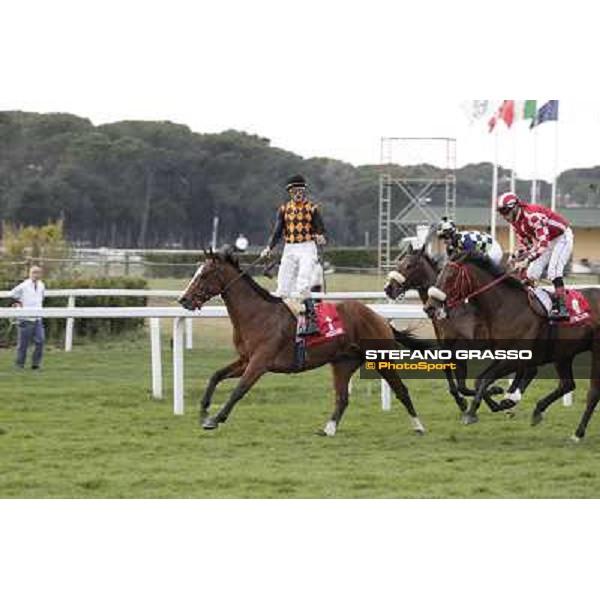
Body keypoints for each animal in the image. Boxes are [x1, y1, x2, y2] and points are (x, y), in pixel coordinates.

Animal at [178, 247, 432, 436]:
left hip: (381, 358)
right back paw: (328, 429)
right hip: (342, 363)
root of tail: (377, 316)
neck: (256, 315)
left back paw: (419, 426)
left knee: (401, 390)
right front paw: (203, 411)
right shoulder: (245, 359)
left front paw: (215, 418)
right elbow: (216, 376)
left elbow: (239, 390)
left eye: (203, 275)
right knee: (342, 398)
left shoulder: (260, 362)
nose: (183, 300)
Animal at [424, 253, 600, 440]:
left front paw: (472, 412)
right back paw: (538, 411)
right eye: (439, 274)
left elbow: (485, 379)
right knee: (567, 384)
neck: (506, 307)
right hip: (564, 353)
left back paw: (578, 433)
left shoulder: (516, 357)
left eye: (450, 276)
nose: (429, 307)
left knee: (593, 392)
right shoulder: (500, 354)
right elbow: (480, 380)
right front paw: (500, 399)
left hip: (596, 351)